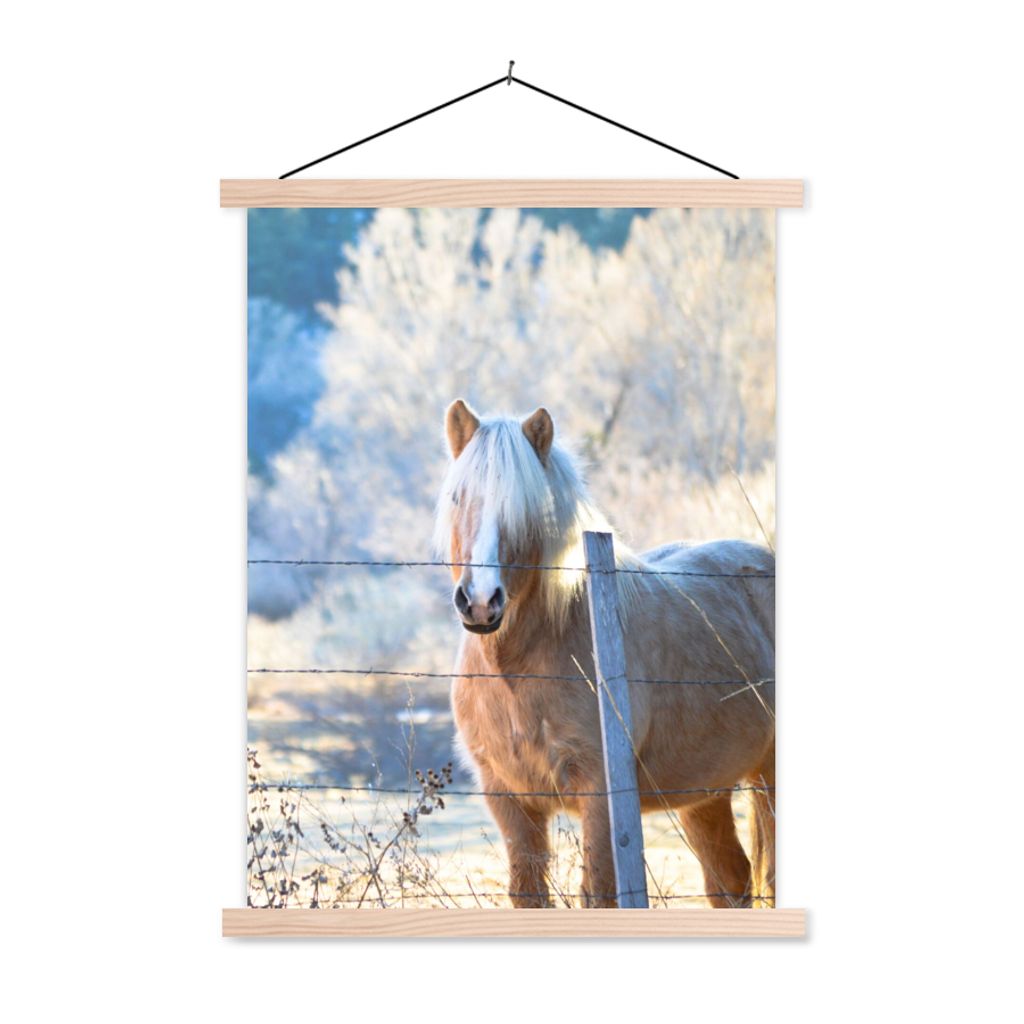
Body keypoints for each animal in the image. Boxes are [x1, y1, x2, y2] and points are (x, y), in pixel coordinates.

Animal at [435, 398, 776, 908]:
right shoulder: (509, 799)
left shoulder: (599, 794)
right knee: (730, 880)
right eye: (459, 497)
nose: (480, 601)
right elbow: (528, 894)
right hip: (706, 790)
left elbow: (599, 894)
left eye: (527, 508)